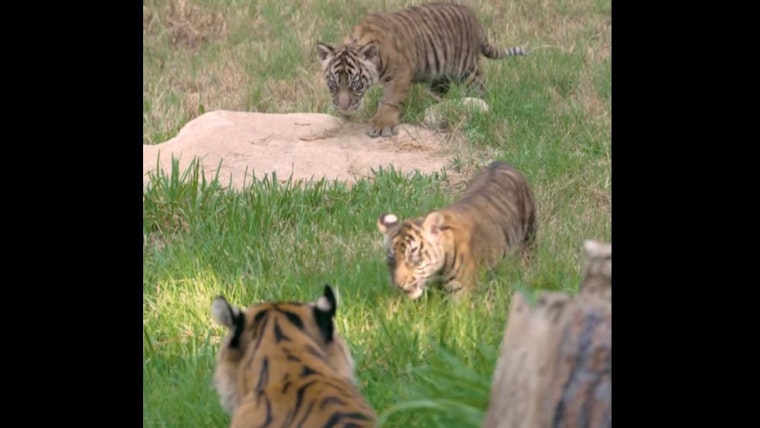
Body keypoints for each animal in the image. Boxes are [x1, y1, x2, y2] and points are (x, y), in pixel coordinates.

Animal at [316, 2, 528, 138]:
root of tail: (472, 14)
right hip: (439, 75)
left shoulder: (398, 75)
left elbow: (389, 101)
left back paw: (480, 106)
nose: (343, 107)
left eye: (356, 85)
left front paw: (382, 125)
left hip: (469, 70)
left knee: (481, 89)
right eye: (333, 85)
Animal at [377, 160, 537, 299]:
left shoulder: (461, 291)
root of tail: (500, 162)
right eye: (391, 259)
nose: (399, 285)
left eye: (414, 259)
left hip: (529, 235)